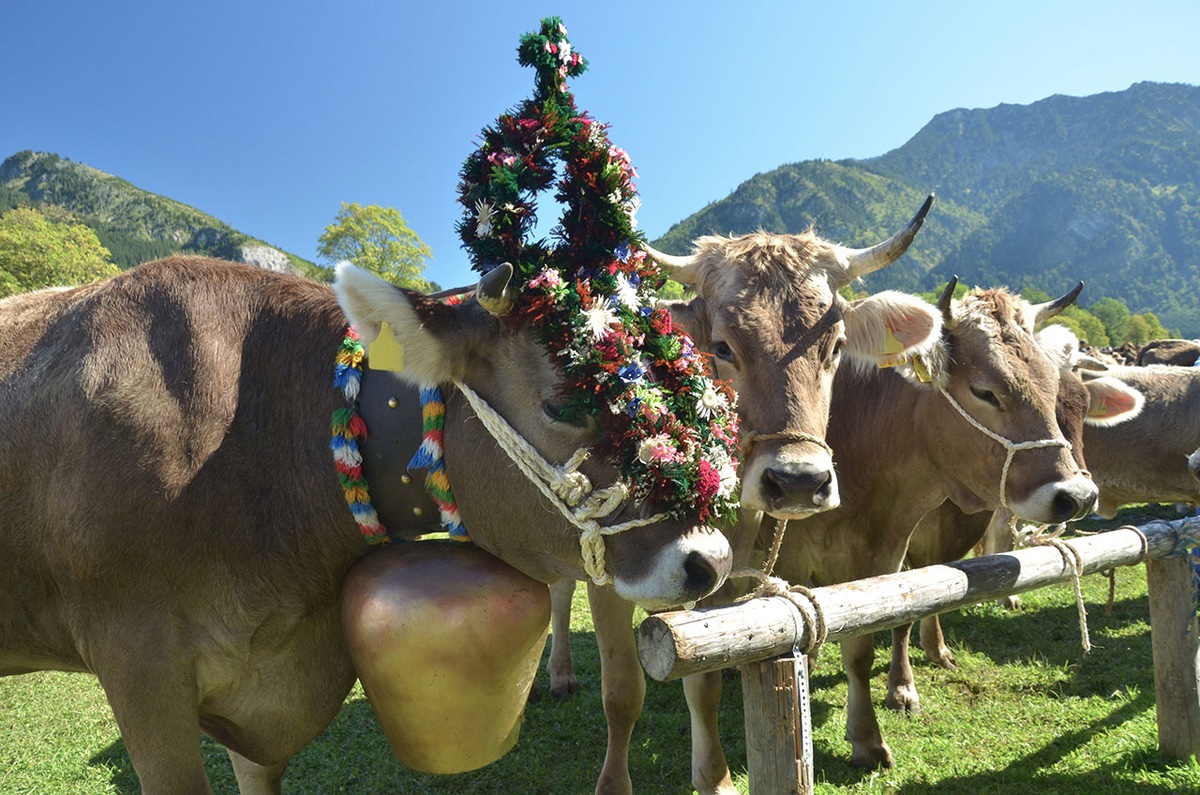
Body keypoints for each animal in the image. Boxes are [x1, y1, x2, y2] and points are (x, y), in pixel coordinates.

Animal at [544, 195, 945, 792]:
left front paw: (718, 773)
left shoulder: (727, 575)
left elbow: (713, 675)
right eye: (721, 347)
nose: (799, 481)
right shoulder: (606, 572)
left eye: (836, 347)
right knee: (554, 591)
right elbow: (623, 691)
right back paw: (560, 673)